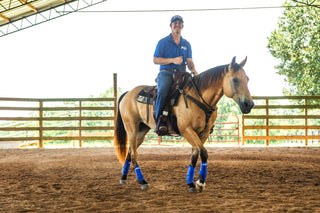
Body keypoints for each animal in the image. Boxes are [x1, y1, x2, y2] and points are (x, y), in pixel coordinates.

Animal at [114, 56, 254, 191]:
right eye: (235, 80)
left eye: (247, 79)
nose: (249, 104)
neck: (199, 99)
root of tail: (128, 93)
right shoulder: (186, 130)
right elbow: (203, 153)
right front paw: (200, 182)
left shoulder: (203, 132)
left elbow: (195, 154)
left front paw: (191, 182)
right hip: (131, 128)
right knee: (134, 154)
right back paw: (143, 181)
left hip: (141, 131)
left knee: (130, 152)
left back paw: (124, 178)